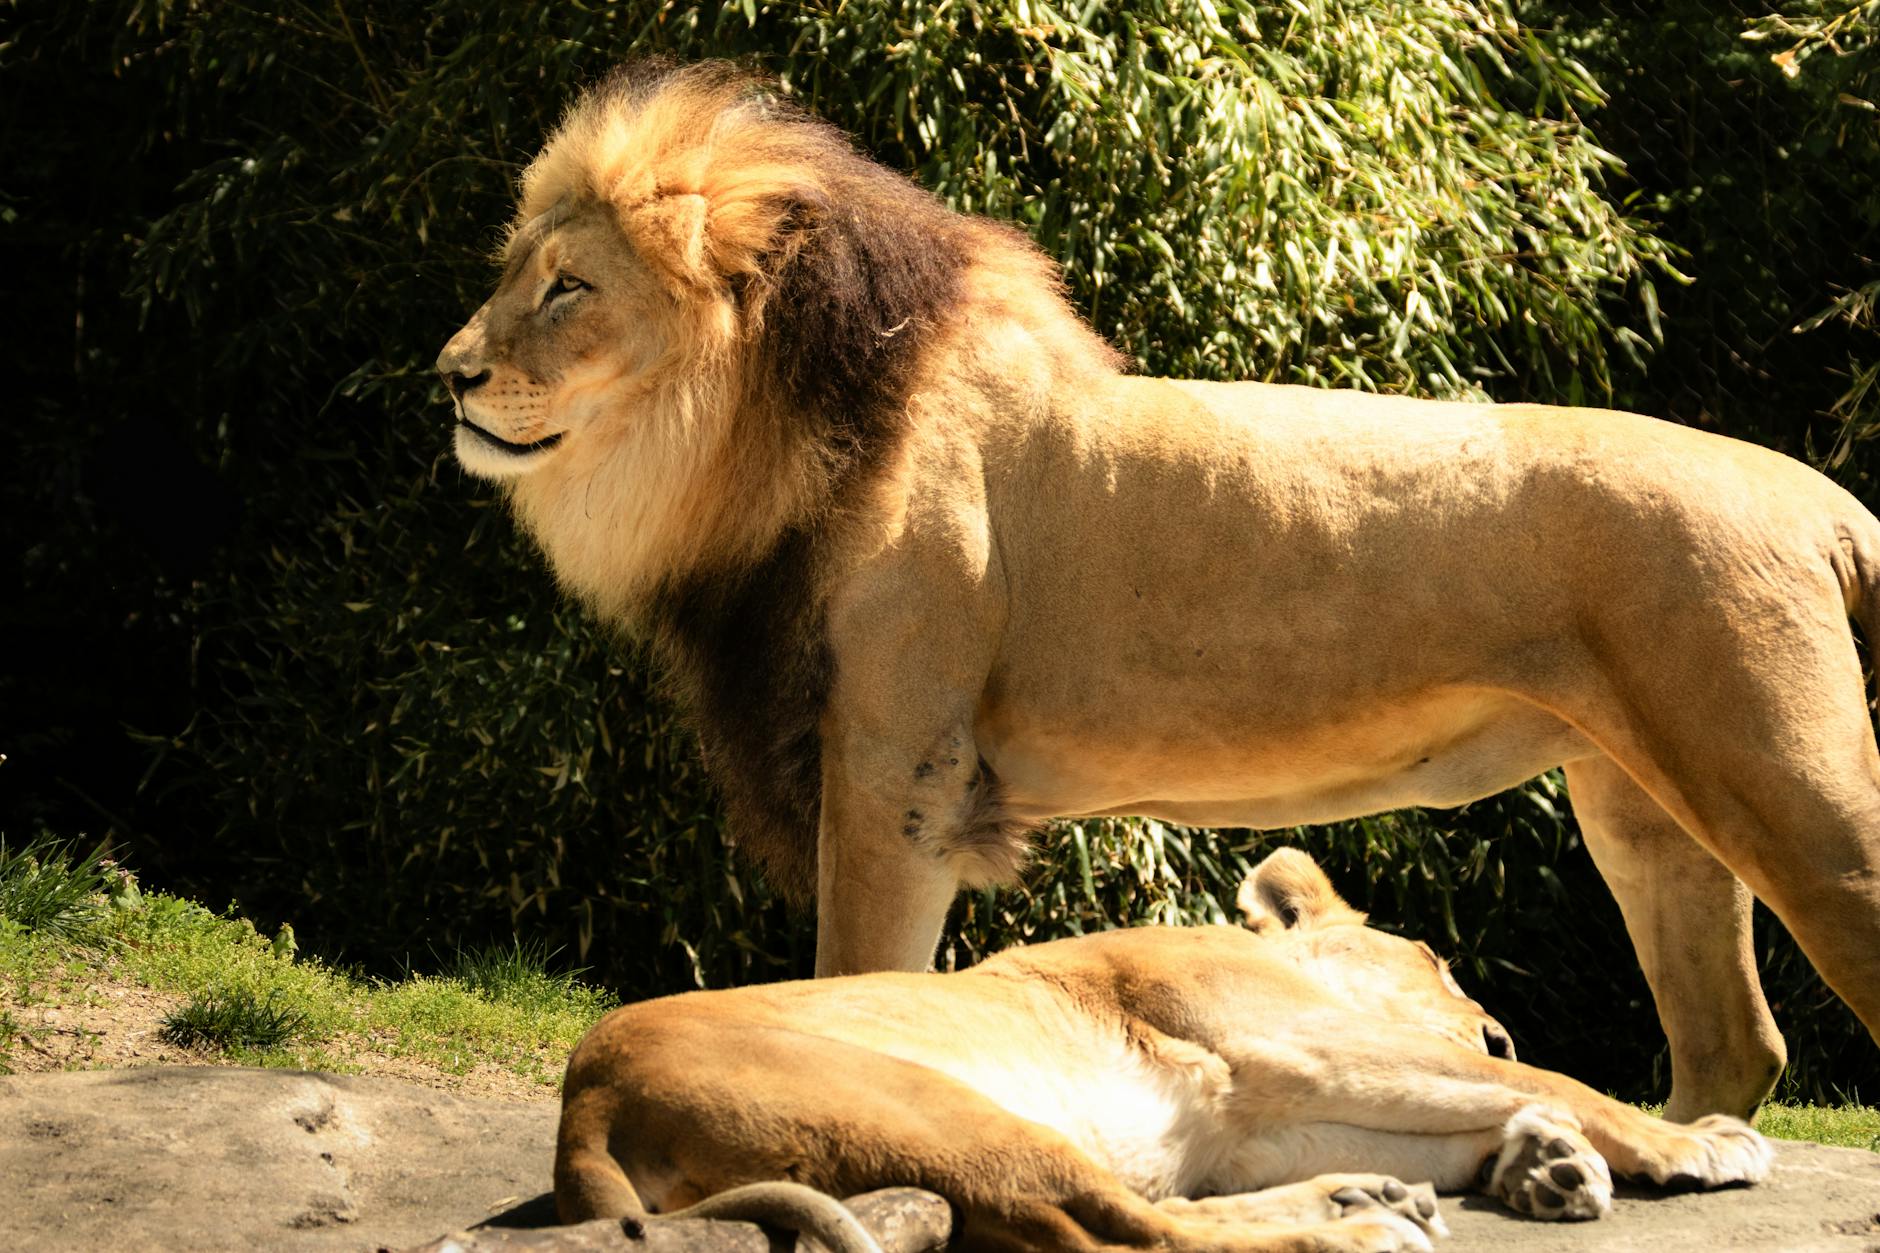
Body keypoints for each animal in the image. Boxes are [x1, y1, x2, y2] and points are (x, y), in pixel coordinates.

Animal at [436, 60, 1880, 1121]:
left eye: (566, 289)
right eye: (510, 276)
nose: (447, 373)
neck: (759, 434)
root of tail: (1812, 494)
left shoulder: (901, 769)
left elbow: (858, 968)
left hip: (1784, 778)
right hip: (1643, 806)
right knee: (1735, 1045)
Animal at [552, 850, 1772, 1252]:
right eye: (1434, 956)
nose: (1494, 1021)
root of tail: (583, 1104)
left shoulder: (1260, 1117)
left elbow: (1500, 1104)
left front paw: (1540, 1164)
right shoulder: (1294, 1044)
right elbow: (1549, 1077)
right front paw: (1699, 1139)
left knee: (1151, 1211)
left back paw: (1363, 1194)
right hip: (947, 1113)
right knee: (1121, 1234)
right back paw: (1358, 1228)